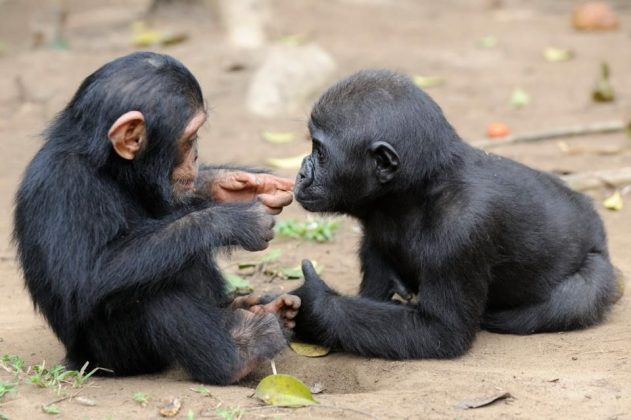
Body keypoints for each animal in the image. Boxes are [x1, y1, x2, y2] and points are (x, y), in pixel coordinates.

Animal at [292, 70, 624, 360]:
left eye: (320, 152)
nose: (301, 173)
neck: (416, 191)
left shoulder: (461, 229)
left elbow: (440, 332)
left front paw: (312, 305)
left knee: (578, 295)